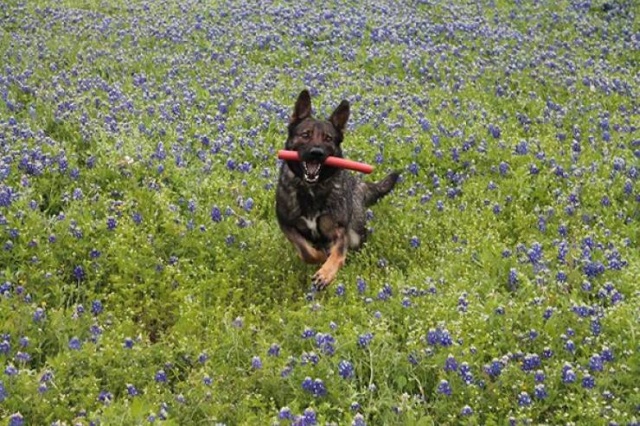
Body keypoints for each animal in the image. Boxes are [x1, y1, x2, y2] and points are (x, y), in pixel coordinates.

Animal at [276, 90, 400, 290]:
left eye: (328, 138)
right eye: (305, 135)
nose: (316, 152)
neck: (312, 189)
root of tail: (358, 183)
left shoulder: (339, 230)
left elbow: (337, 255)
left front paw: (325, 274)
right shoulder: (287, 224)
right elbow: (305, 251)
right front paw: (318, 257)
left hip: (356, 230)